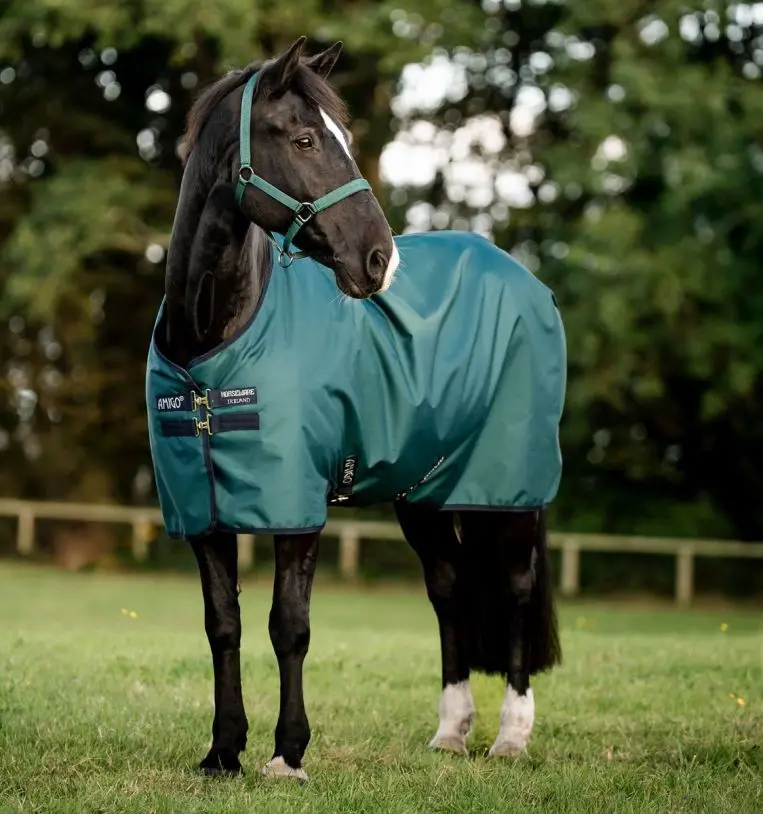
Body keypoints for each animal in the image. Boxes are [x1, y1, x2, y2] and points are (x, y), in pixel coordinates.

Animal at [147, 36, 564, 781]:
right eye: (306, 138)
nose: (378, 260)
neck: (211, 347)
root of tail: (522, 276)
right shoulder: (202, 510)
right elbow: (223, 625)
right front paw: (223, 751)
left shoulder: (297, 507)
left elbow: (289, 625)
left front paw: (287, 754)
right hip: (424, 494)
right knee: (448, 588)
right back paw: (451, 731)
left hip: (510, 490)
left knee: (515, 590)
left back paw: (511, 735)